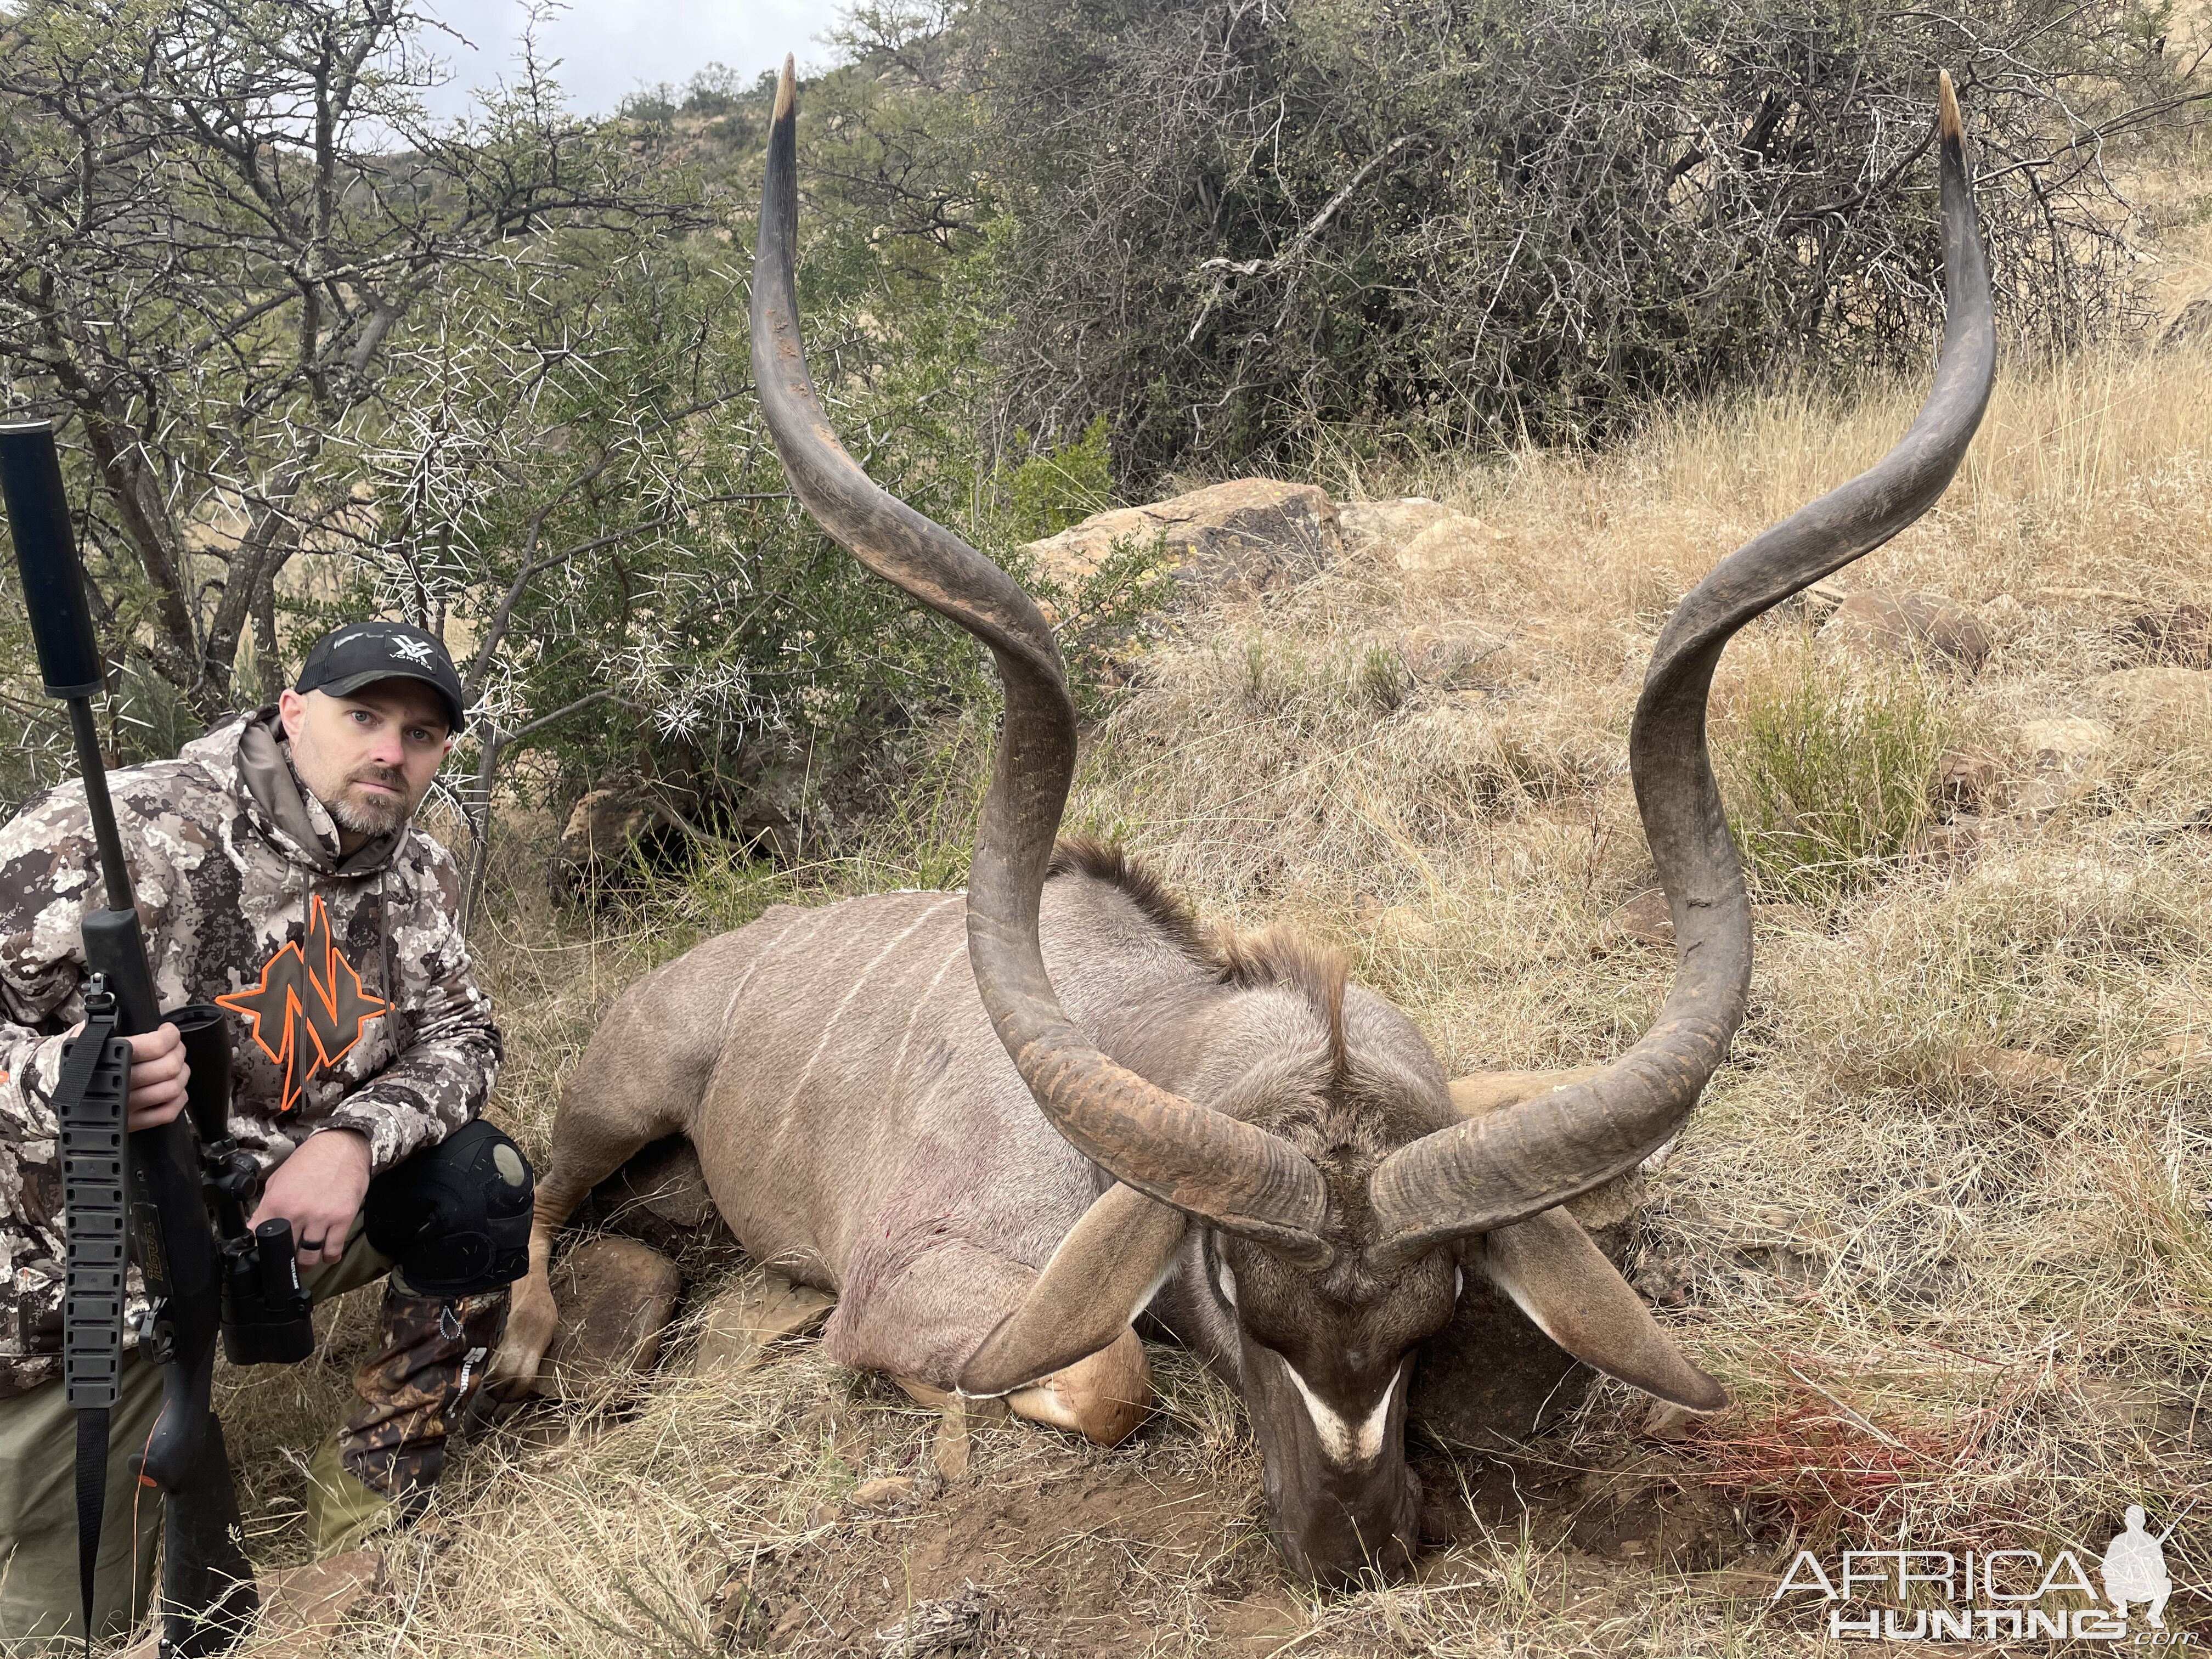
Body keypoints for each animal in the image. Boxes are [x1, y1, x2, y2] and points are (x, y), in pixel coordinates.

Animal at [493, 68, 1999, 1583]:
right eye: (1238, 1300)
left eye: (1436, 1313)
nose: (1356, 1544)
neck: (1143, 1022)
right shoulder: (917, 1278)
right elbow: (1104, 1378)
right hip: (615, 1094)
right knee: (542, 1199)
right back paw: (522, 1348)